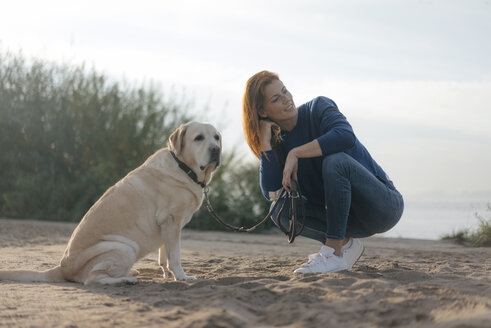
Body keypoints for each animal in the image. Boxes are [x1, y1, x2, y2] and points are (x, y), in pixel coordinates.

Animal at [0, 122, 221, 284]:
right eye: (199, 138)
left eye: (217, 137)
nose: (216, 149)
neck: (184, 168)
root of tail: (62, 268)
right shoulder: (172, 222)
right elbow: (175, 257)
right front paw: (182, 277)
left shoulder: (168, 227)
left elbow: (164, 256)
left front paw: (168, 275)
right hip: (124, 247)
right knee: (92, 279)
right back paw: (125, 280)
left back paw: (129, 273)